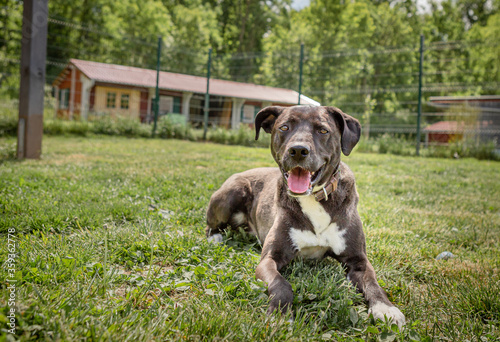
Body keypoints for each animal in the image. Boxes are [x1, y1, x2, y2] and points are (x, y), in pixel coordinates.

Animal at [205, 105, 404, 328]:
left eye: (323, 130)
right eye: (284, 127)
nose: (298, 150)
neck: (313, 198)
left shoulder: (358, 260)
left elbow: (372, 283)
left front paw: (386, 308)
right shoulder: (269, 259)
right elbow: (281, 284)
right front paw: (280, 314)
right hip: (231, 193)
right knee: (210, 224)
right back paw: (215, 237)